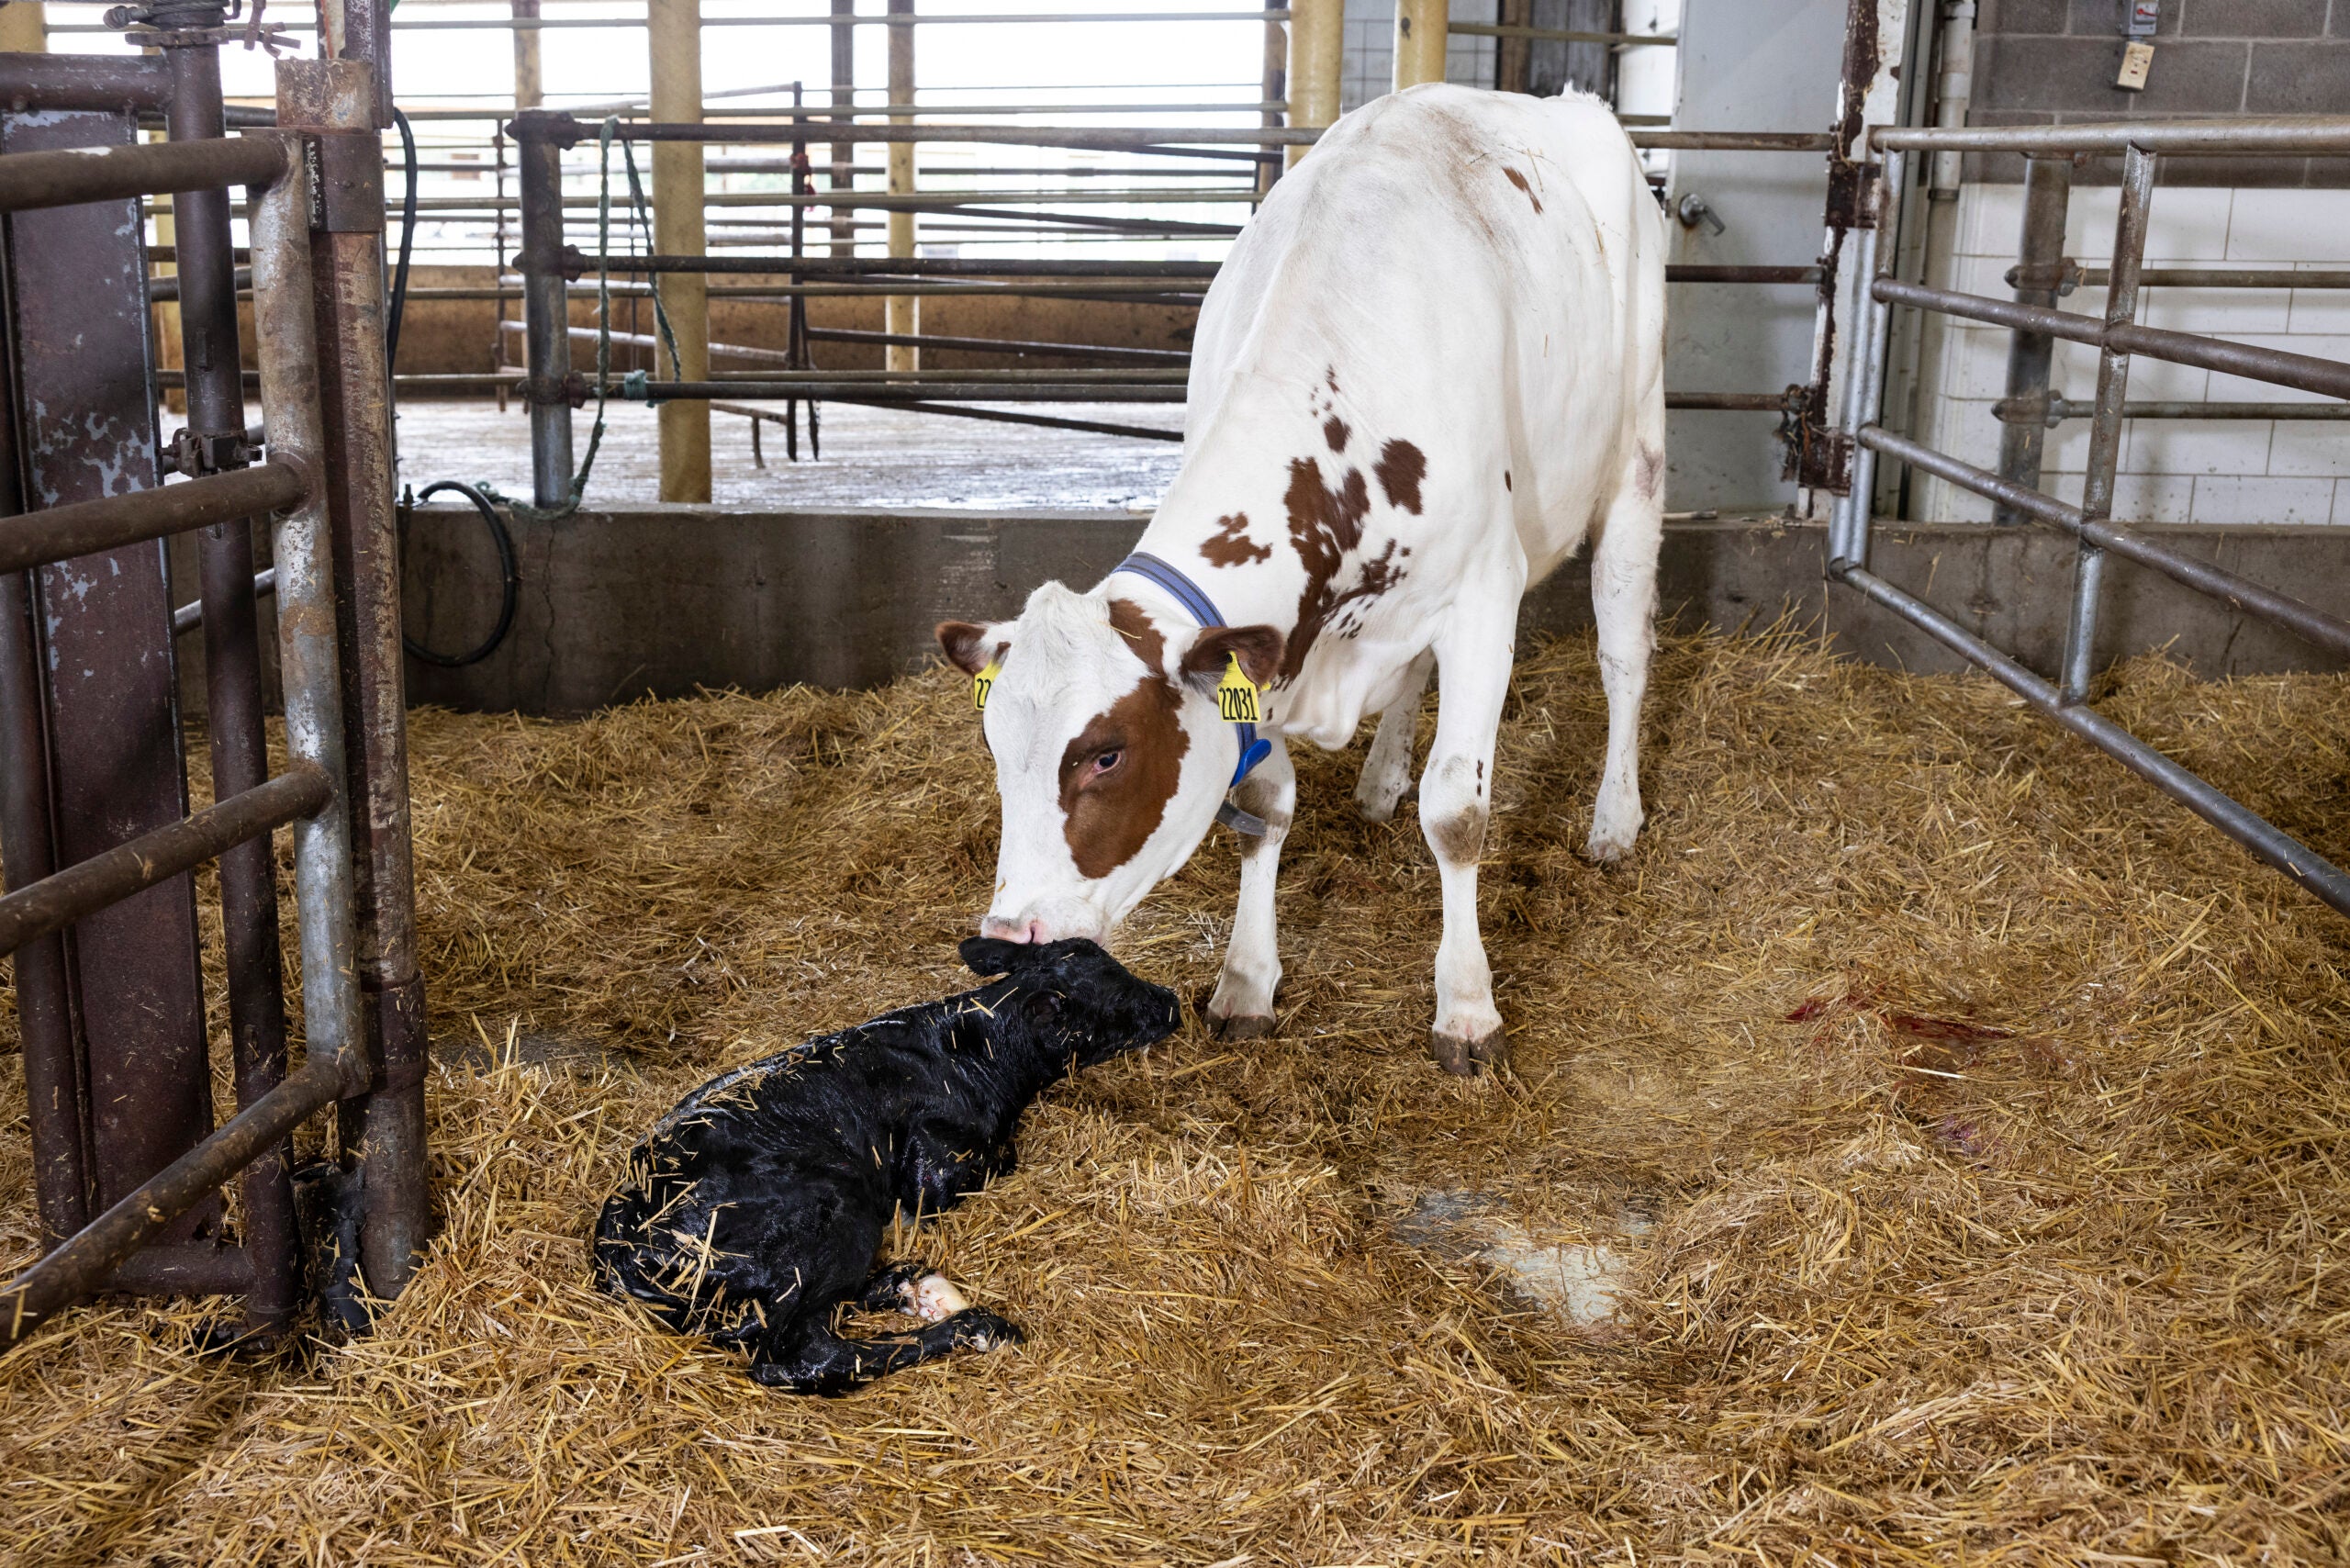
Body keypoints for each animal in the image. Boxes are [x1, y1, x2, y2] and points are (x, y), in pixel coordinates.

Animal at [935, 84, 1666, 1076]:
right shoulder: (1268, 648)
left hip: (1637, 453)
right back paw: (1382, 777)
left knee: (1622, 654)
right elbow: (1262, 803)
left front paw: (1467, 1009)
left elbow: (1458, 812)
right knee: (1412, 679)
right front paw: (1247, 981)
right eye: (995, 746)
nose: (1008, 936)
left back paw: (1613, 820)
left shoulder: (1483, 594)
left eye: (1106, 754)